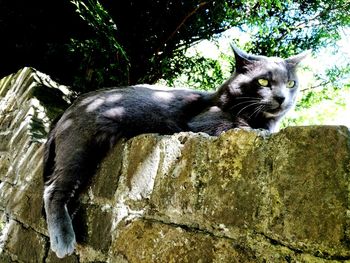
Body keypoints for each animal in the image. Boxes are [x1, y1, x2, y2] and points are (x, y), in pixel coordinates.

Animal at [42, 44, 308, 258]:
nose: (282, 97)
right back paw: (63, 240)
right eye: (263, 81)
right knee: (53, 189)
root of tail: (68, 109)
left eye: (291, 83)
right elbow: (242, 126)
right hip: (81, 144)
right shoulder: (207, 122)